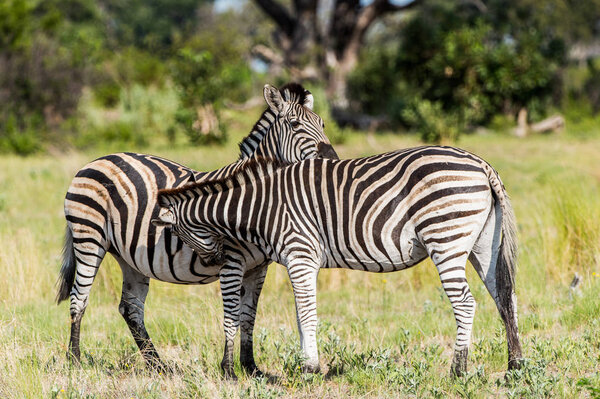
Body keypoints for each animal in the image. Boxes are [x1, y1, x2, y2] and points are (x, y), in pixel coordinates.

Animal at [55, 83, 338, 380]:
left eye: (323, 124)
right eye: (295, 125)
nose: (332, 159)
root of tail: (96, 161)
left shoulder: (259, 268)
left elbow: (249, 315)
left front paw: (251, 368)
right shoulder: (231, 261)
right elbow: (233, 314)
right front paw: (229, 371)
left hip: (129, 256)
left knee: (130, 308)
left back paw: (158, 365)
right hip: (89, 238)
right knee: (79, 298)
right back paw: (75, 361)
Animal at [156, 148, 524, 378]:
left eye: (175, 232)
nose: (215, 259)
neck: (261, 205)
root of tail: (481, 164)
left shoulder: (300, 254)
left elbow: (307, 314)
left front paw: (310, 368)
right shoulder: (298, 261)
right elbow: (300, 315)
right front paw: (308, 364)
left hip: (445, 237)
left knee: (465, 303)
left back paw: (457, 371)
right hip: (482, 244)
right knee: (505, 297)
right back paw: (515, 367)